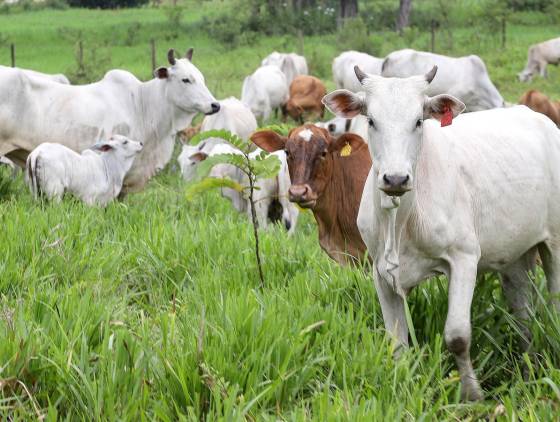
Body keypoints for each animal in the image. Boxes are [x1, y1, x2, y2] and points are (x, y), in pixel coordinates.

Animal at [322, 66, 560, 402]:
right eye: (371, 121)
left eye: (418, 121)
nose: (396, 178)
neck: (401, 221)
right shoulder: (380, 271)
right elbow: (397, 341)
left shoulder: (464, 258)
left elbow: (457, 335)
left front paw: (472, 394)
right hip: (513, 256)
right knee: (522, 315)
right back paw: (527, 369)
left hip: (554, 243)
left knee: (553, 304)